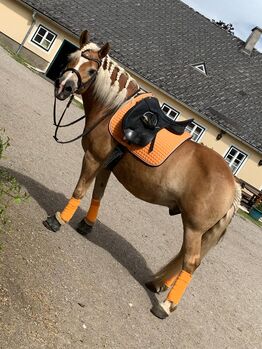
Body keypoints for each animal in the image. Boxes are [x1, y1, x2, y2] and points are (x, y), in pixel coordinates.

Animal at [43, 30, 242, 318]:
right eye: (70, 59)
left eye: (91, 70)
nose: (64, 88)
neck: (112, 110)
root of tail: (234, 185)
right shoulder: (106, 166)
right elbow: (97, 195)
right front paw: (86, 225)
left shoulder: (93, 159)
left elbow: (80, 190)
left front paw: (58, 220)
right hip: (196, 228)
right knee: (183, 256)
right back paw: (157, 284)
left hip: (194, 227)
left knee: (191, 262)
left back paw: (166, 306)